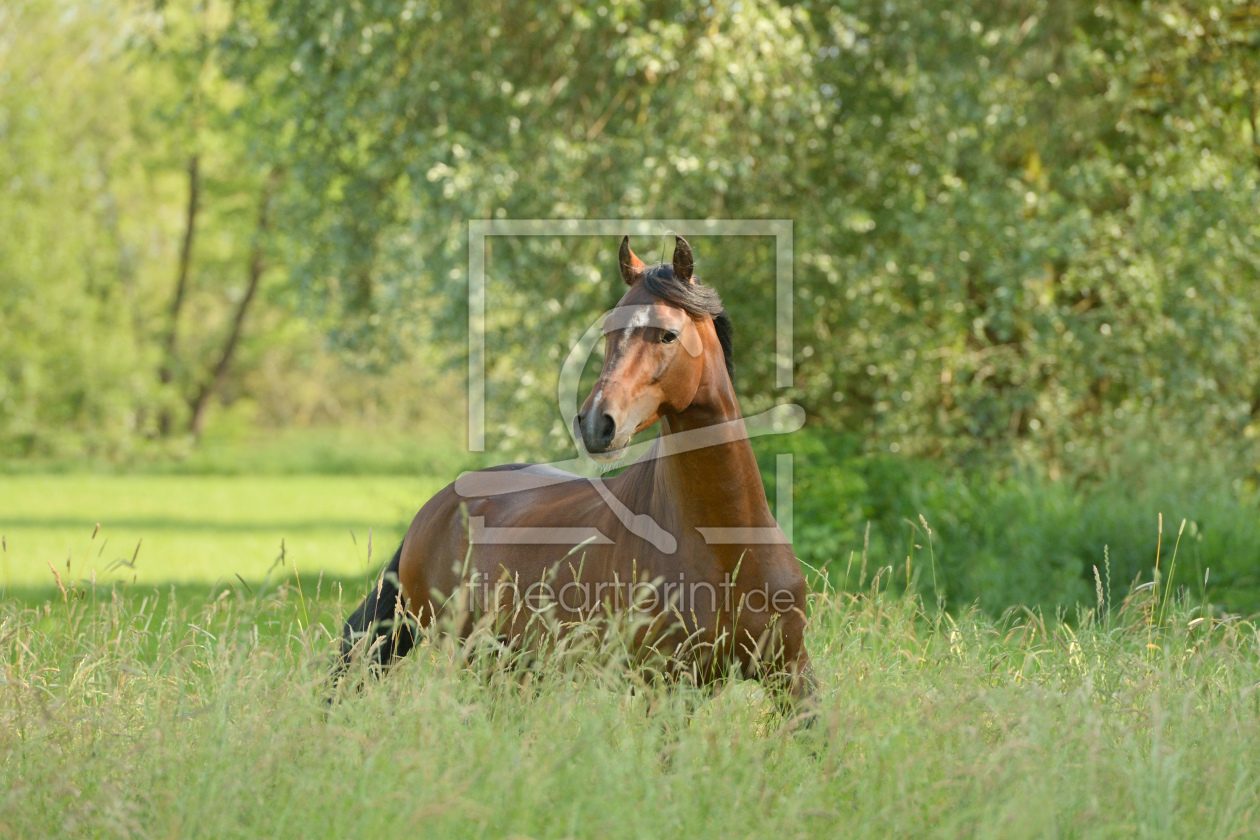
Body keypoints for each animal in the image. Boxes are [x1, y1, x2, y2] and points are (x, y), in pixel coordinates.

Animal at [342, 236, 816, 710]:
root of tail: (433, 511)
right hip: (476, 658)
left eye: (668, 334)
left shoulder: (792, 674)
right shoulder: (663, 685)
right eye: (608, 332)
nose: (596, 423)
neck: (725, 543)